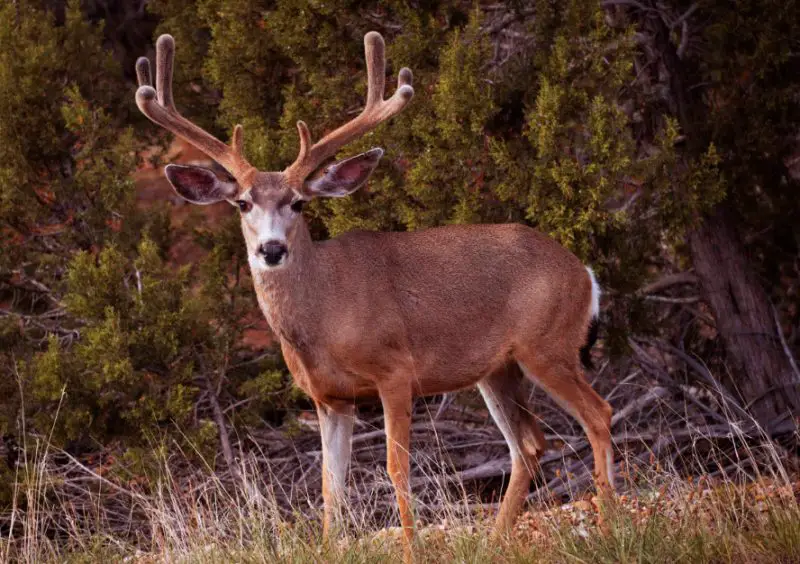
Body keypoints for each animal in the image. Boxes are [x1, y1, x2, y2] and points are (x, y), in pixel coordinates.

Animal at [135, 32, 614, 562]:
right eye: (241, 203)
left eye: (299, 203)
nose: (272, 249)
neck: (325, 315)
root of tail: (585, 273)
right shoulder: (329, 397)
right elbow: (331, 484)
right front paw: (330, 548)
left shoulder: (396, 370)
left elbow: (394, 466)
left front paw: (411, 550)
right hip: (497, 368)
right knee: (528, 444)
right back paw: (494, 542)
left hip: (547, 345)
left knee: (598, 415)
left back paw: (611, 525)